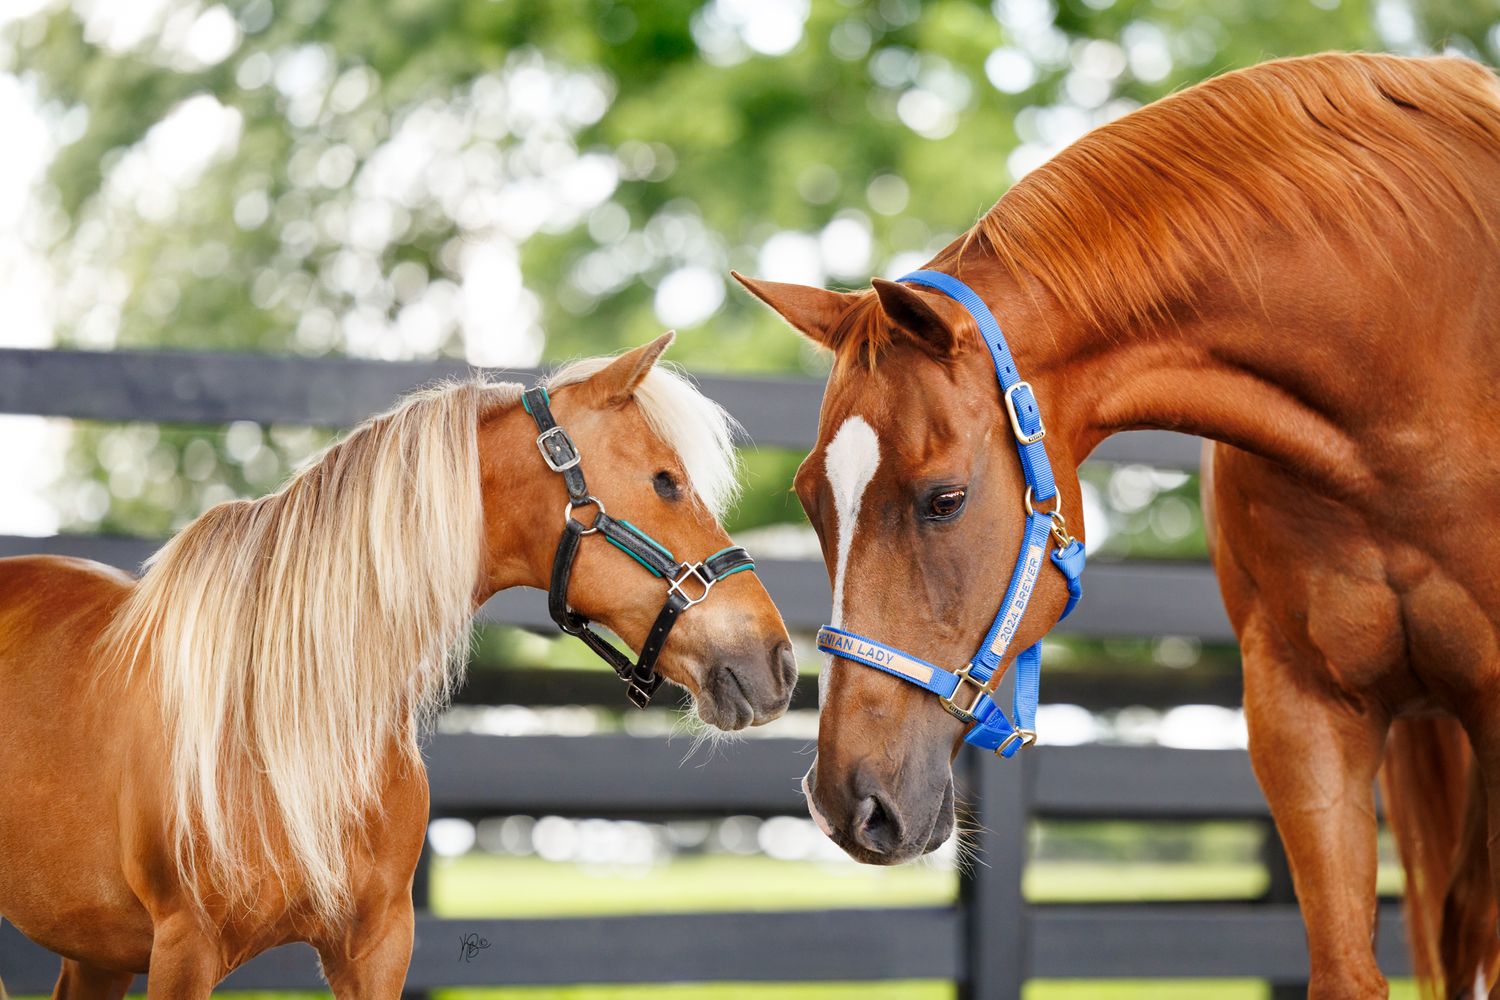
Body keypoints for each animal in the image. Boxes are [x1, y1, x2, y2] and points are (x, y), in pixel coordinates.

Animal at [0, 332, 796, 998]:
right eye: (665, 482)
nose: (779, 661)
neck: (287, 720)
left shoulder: (379, 944)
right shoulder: (184, 951)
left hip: (95, 949)